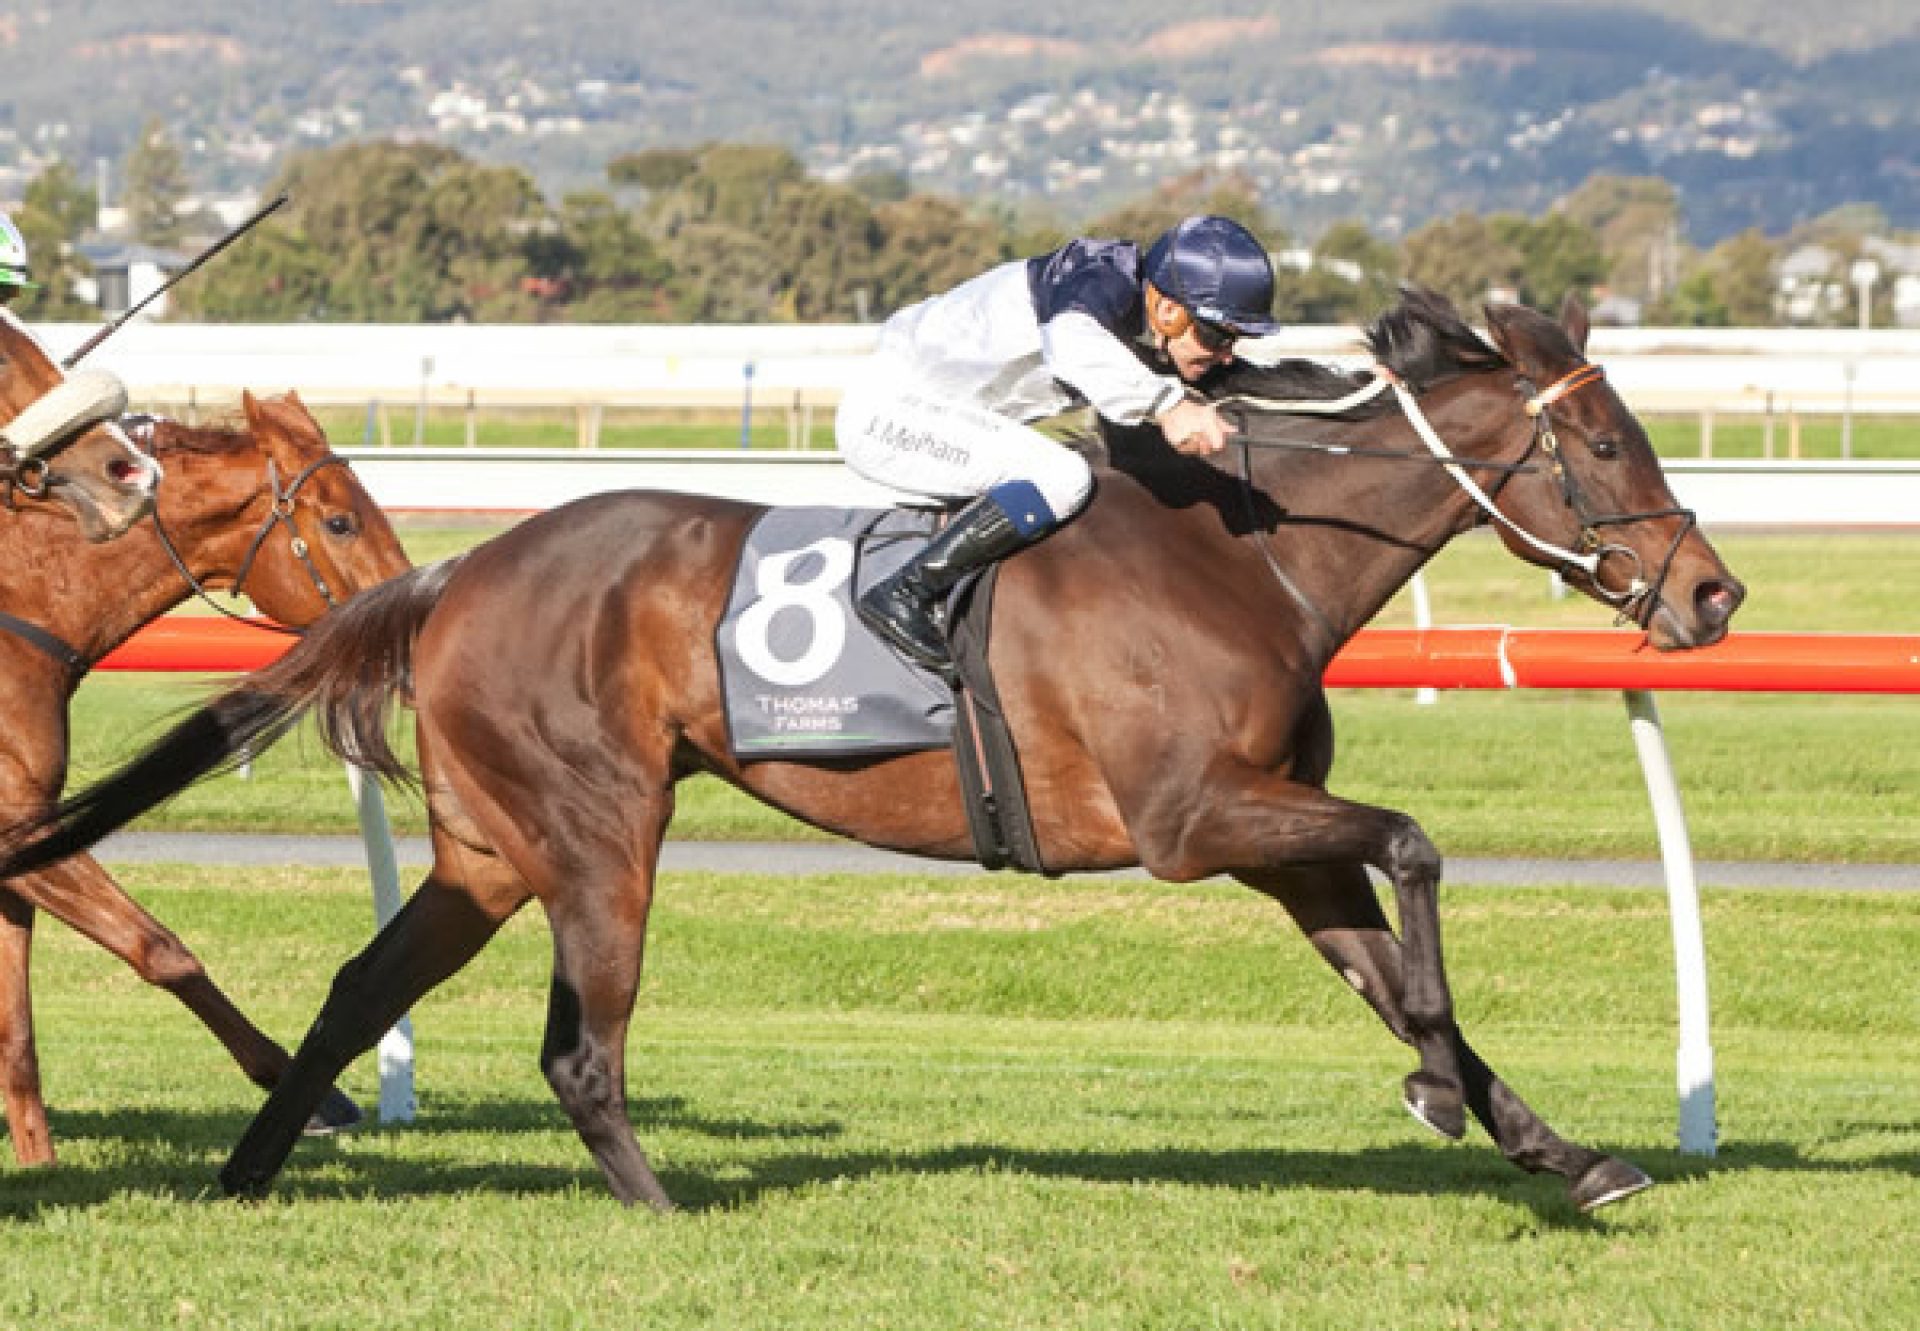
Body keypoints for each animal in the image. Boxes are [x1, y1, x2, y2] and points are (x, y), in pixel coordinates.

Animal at [0, 393, 408, 1160]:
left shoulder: (27, 832)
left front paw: (39, 1160)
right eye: (340, 521)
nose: (413, 614)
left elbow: (17, 1027)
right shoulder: (17, 832)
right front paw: (316, 1093)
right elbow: (162, 948)